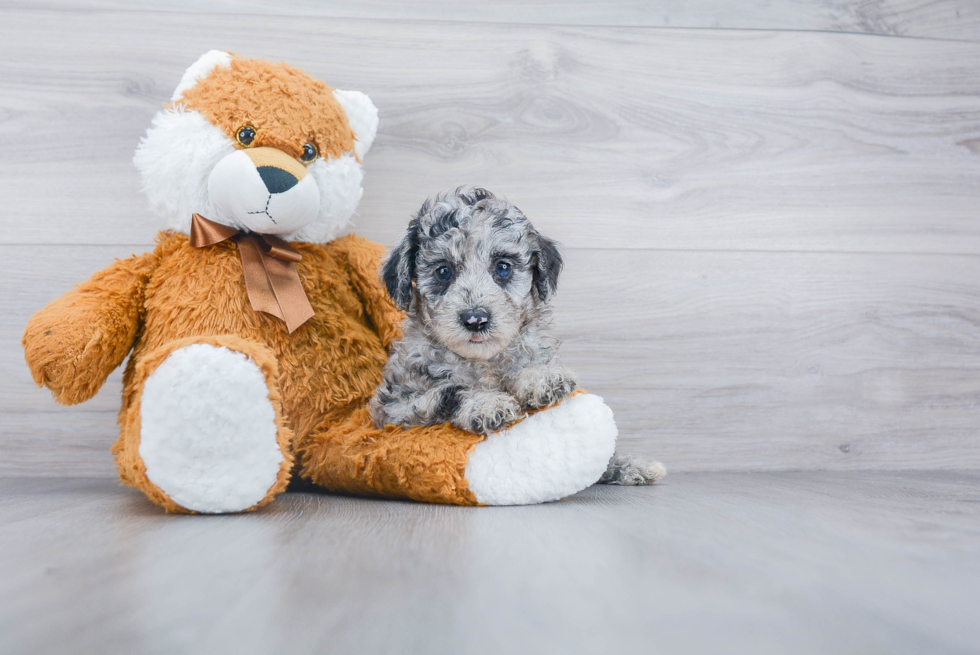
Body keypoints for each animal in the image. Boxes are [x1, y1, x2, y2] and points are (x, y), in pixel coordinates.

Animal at [368, 187, 668, 484]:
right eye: (444, 271)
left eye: (503, 267)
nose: (475, 319)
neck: (483, 361)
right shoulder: (395, 409)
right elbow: (449, 390)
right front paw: (486, 404)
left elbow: (530, 365)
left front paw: (542, 378)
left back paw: (633, 466)